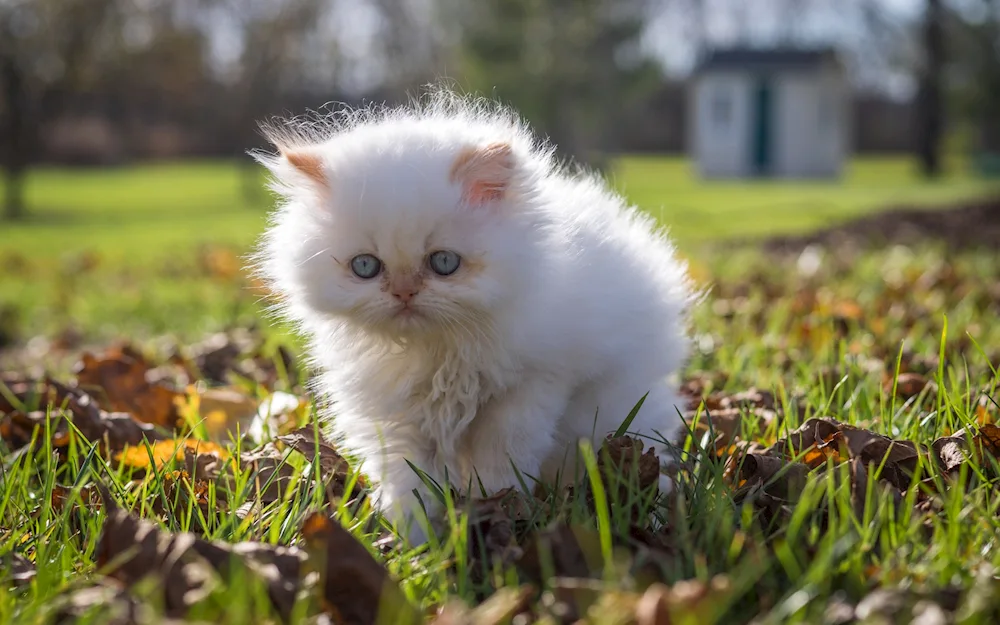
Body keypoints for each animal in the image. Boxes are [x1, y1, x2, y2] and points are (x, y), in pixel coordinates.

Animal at [252, 89, 688, 540]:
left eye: (444, 262)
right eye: (366, 267)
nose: (404, 292)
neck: (438, 354)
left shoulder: (529, 391)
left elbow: (500, 466)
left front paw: (494, 515)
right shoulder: (396, 419)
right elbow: (410, 483)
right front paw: (416, 543)